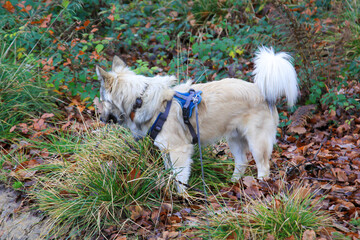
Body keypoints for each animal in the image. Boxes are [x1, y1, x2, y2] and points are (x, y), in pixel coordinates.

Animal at [96, 47, 298, 193]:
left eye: (103, 101)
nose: (100, 118)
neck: (140, 100)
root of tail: (262, 92)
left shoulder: (179, 150)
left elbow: (180, 177)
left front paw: (181, 197)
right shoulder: (165, 150)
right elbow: (169, 172)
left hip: (257, 142)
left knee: (263, 166)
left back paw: (261, 185)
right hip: (234, 139)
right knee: (241, 162)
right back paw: (232, 183)